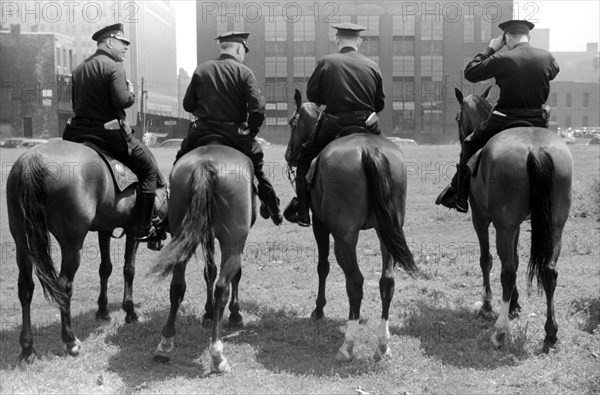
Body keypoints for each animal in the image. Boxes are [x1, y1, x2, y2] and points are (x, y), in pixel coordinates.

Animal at [5, 141, 168, 364]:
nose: (158, 241)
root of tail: (31, 161)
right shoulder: (133, 229)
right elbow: (129, 269)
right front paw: (130, 311)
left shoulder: (105, 229)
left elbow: (105, 268)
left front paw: (103, 309)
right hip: (72, 245)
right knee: (63, 285)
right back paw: (70, 340)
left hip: (22, 241)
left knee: (25, 288)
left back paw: (28, 348)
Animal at [151, 143, 256, 374]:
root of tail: (205, 165)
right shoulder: (235, 243)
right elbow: (235, 275)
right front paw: (235, 315)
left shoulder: (206, 233)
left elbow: (210, 271)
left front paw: (208, 313)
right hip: (232, 243)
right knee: (222, 287)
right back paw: (217, 354)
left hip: (181, 232)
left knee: (177, 286)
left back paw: (165, 345)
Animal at [286, 89, 418, 362]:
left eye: (293, 123)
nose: (289, 155)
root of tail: (369, 149)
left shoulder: (320, 225)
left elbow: (322, 267)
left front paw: (318, 309)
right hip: (388, 231)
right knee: (387, 281)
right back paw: (382, 344)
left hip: (344, 236)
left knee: (355, 282)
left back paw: (348, 345)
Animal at [454, 87, 576, 352]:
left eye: (458, 117)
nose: (460, 136)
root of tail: (535, 148)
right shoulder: (517, 224)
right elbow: (517, 260)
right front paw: (514, 305)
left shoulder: (481, 218)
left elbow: (487, 260)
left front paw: (488, 304)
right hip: (554, 225)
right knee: (549, 271)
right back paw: (550, 332)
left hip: (503, 225)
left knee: (507, 272)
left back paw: (500, 332)